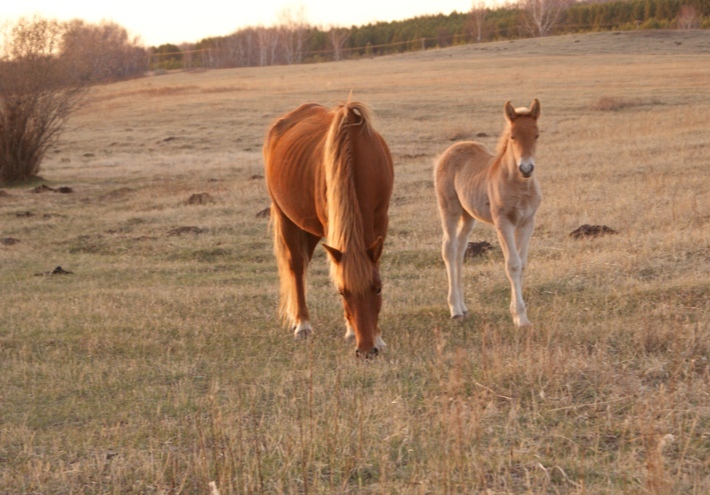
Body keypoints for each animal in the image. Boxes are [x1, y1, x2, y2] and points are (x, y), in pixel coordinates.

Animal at [434, 99, 544, 330]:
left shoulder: (527, 223)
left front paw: (517, 315)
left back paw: (463, 307)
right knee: (449, 248)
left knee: (460, 250)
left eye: (536, 135)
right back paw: (455, 310)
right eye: (512, 136)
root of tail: (451, 149)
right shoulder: (503, 223)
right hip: (449, 208)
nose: (526, 168)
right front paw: (521, 318)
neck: (518, 185)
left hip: (468, 215)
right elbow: (512, 264)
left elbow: (522, 264)